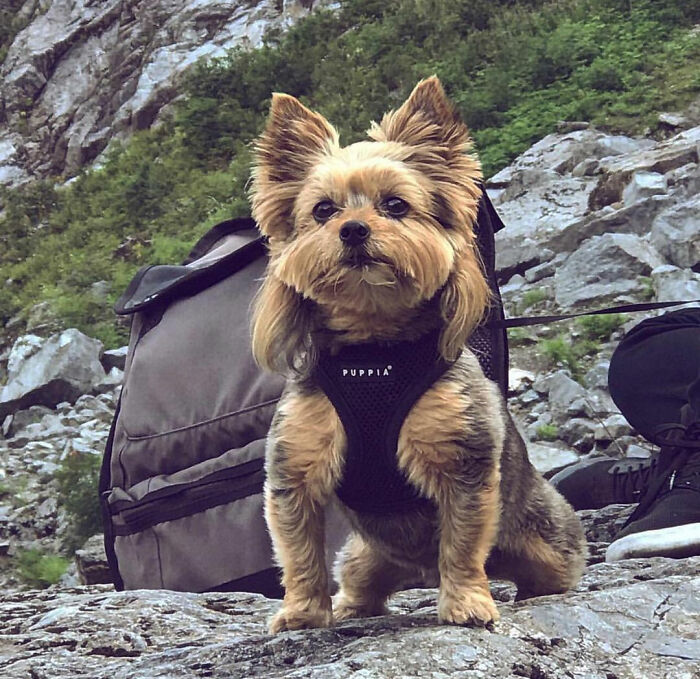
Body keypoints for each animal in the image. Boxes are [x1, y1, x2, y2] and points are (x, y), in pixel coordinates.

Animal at [249, 77, 588, 636]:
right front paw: (301, 612)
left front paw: (467, 603)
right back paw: (352, 606)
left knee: (541, 569)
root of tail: (415, 570)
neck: (374, 347)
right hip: (363, 556)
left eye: (395, 205)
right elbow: (298, 551)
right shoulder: (295, 470)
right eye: (323, 211)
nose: (353, 229)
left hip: (549, 544)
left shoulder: (463, 465)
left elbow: (463, 545)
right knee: (361, 579)